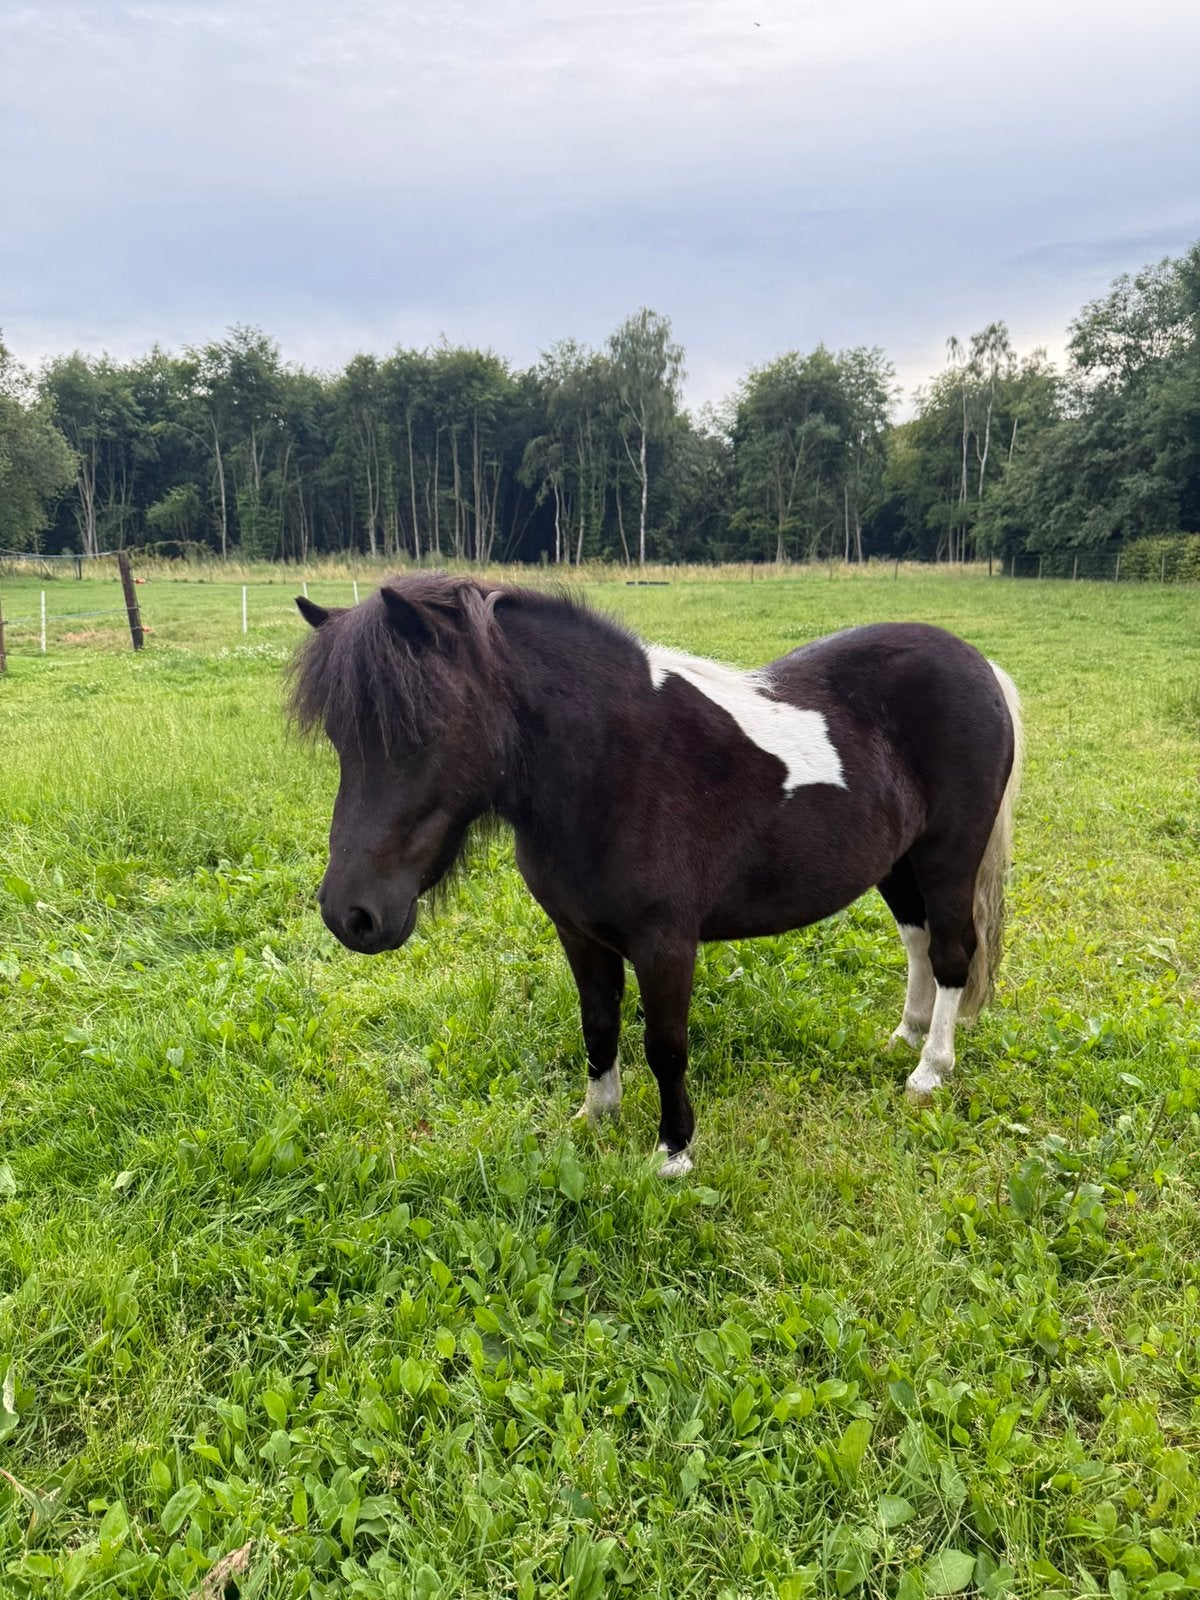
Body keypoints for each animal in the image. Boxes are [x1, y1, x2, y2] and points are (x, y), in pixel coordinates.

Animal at [291, 575, 1023, 1176]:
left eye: (424, 727)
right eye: (341, 738)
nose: (351, 914)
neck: (615, 763)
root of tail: (980, 665)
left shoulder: (666, 944)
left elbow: (665, 1043)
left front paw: (673, 1152)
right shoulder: (580, 936)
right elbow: (598, 1025)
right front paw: (596, 1117)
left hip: (947, 857)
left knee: (953, 953)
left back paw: (930, 1069)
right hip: (898, 864)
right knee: (918, 943)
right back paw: (906, 1036)